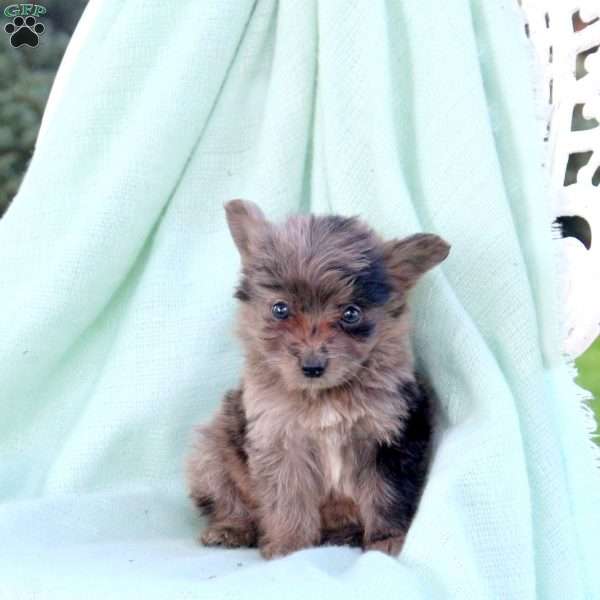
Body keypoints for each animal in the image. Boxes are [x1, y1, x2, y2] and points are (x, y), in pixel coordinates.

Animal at [185, 200, 448, 556]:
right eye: (280, 309)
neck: (324, 396)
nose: (312, 366)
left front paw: (387, 539)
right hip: (211, 451)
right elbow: (288, 497)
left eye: (351, 313)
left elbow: (387, 494)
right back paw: (231, 529)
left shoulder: (390, 435)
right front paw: (289, 544)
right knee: (227, 496)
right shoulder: (279, 442)